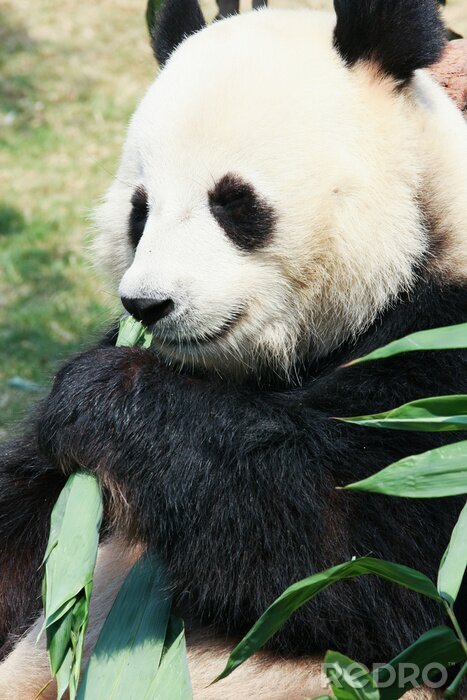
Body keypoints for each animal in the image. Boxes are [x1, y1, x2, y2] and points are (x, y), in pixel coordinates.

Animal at [0, 0, 466, 698]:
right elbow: (24, 513)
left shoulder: (443, 352)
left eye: (233, 202)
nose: (148, 305)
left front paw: (100, 394)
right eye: (139, 210)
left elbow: (362, 544)